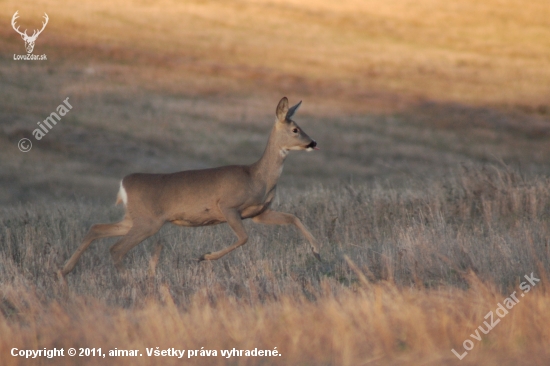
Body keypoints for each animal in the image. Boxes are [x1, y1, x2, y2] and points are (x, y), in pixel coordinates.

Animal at [58, 97, 322, 278]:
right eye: (295, 129)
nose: (313, 142)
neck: (257, 176)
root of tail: (125, 183)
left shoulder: (258, 213)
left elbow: (293, 218)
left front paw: (317, 250)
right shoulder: (227, 206)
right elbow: (244, 238)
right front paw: (204, 257)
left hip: (133, 218)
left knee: (96, 228)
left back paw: (63, 271)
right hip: (148, 221)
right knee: (115, 248)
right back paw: (131, 280)